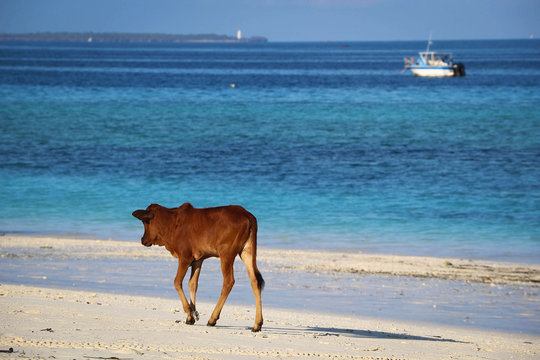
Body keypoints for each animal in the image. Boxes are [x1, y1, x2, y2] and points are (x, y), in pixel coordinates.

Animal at [133, 202, 264, 332]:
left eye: (145, 222)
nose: (143, 240)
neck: (170, 223)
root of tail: (246, 214)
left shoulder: (185, 257)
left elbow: (177, 282)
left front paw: (189, 312)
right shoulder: (198, 260)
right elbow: (192, 284)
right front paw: (191, 316)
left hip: (226, 254)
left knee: (228, 281)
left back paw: (212, 319)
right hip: (246, 251)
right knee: (255, 281)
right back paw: (257, 324)